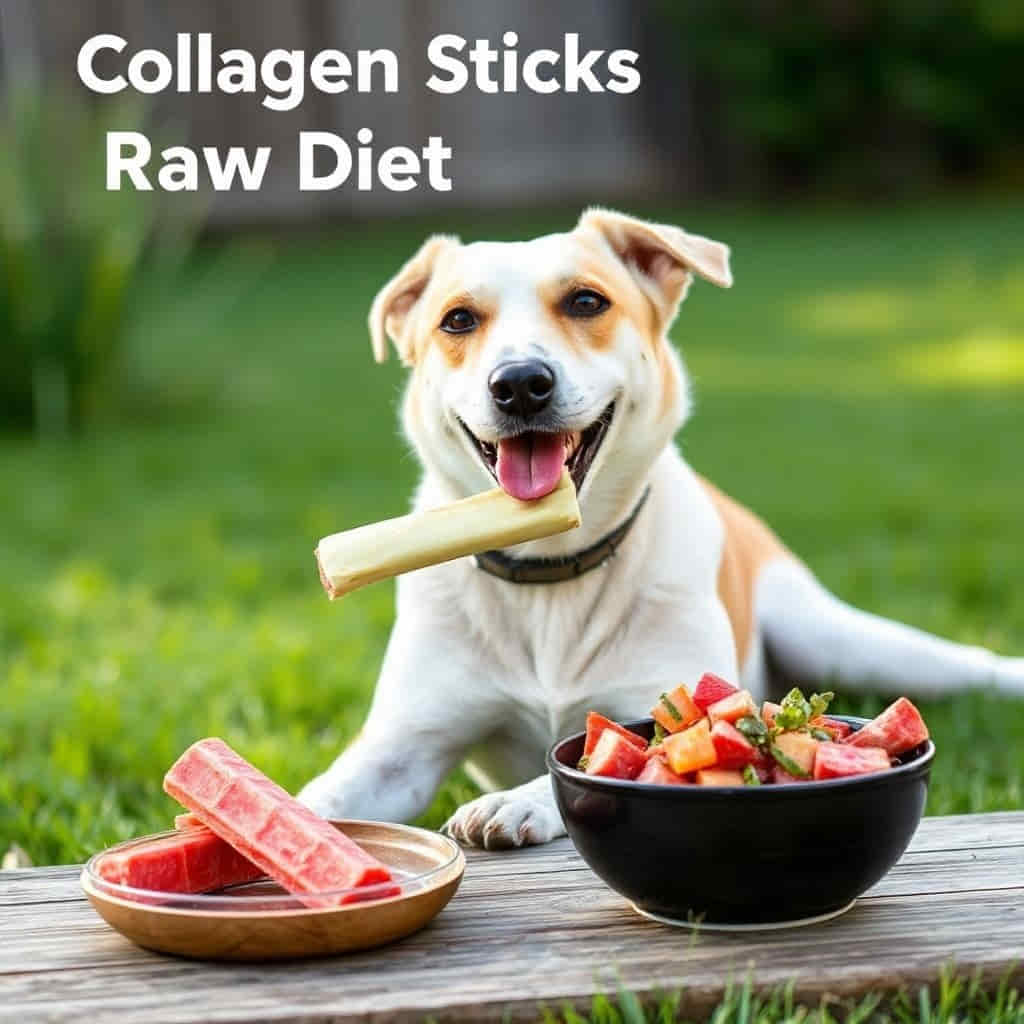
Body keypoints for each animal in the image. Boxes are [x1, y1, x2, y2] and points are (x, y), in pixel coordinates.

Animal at [299, 205, 1024, 847]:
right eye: (457, 320)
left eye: (586, 302)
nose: (521, 383)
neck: (549, 571)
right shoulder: (403, 748)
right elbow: (323, 795)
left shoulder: (659, 701)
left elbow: (597, 752)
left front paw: (515, 801)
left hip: (842, 639)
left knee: (968, 665)